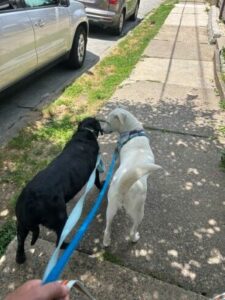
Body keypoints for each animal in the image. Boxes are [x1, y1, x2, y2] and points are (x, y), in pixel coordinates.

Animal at [15, 117, 103, 262]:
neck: (85, 132)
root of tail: (29, 202)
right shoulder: (94, 170)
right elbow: (97, 181)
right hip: (60, 218)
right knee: (58, 243)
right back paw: (67, 246)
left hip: (22, 224)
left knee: (20, 241)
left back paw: (20, 257)